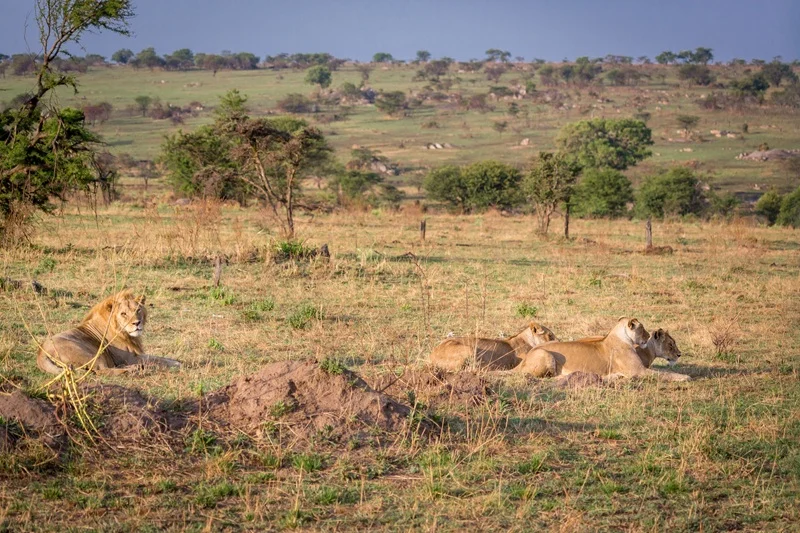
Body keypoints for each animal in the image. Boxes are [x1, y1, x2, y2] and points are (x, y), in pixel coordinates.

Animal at [36, 290, 182, 375]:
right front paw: (177, 364)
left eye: (138, 310)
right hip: (92, 354)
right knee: (100, 371)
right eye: (123, 314)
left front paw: (176, 361)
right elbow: (156, 360)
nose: (137, 323)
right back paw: (133, 369)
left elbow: (161, 357)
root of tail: (40, 353)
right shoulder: (130, 358)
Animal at [514, 317, 691, 382]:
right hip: (546, 355)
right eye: (671, 344)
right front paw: (685, 377)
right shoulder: (639, 371)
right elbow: (664, 373)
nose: (679, 354)